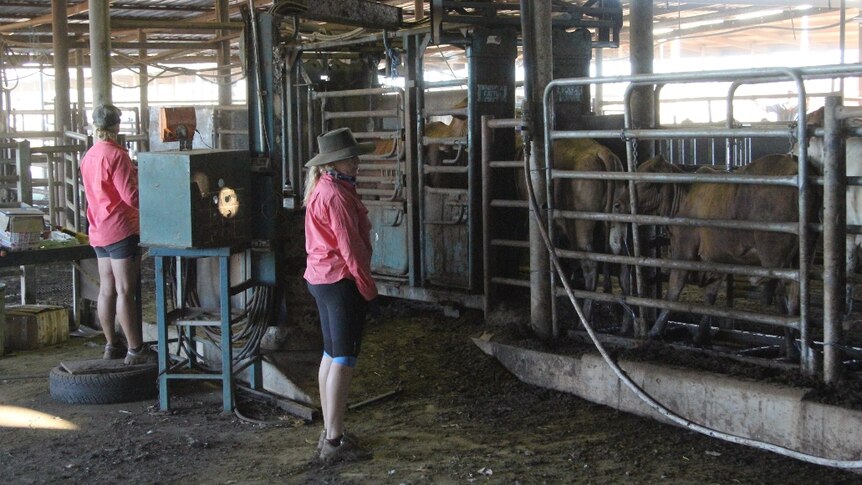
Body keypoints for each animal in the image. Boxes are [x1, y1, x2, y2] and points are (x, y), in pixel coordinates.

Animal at [620, 155, 816, 356]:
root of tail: (793, 163)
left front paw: (654, 332)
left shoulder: (684, 250)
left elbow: (674, 292)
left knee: (782, 300)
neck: (684, 197)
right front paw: (701, 336)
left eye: (646, 183)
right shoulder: (716, 259)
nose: (619, 203)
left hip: (774, 258)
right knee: (795, 298)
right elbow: (710, 297)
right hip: (803, 254)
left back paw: (791, 349)